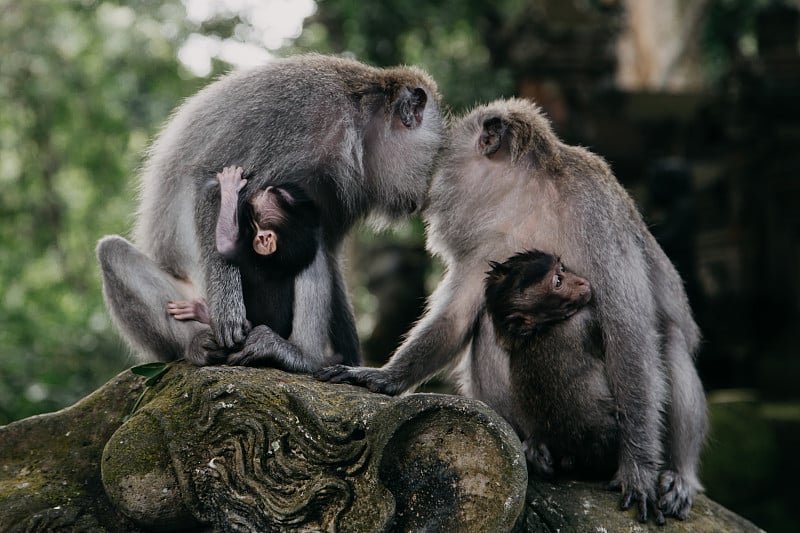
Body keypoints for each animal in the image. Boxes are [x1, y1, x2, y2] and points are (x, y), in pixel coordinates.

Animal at [318, 97, 708, 520]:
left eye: (439, 159)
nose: (425, 197)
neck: (531, 201)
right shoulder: (490, 241)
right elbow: (459, 317)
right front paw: (383, 376)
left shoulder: (597, 218)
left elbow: (628, 334)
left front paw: (638, 469)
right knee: (489, 327)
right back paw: (534, 445)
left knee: (669, 343)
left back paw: (679, 474)